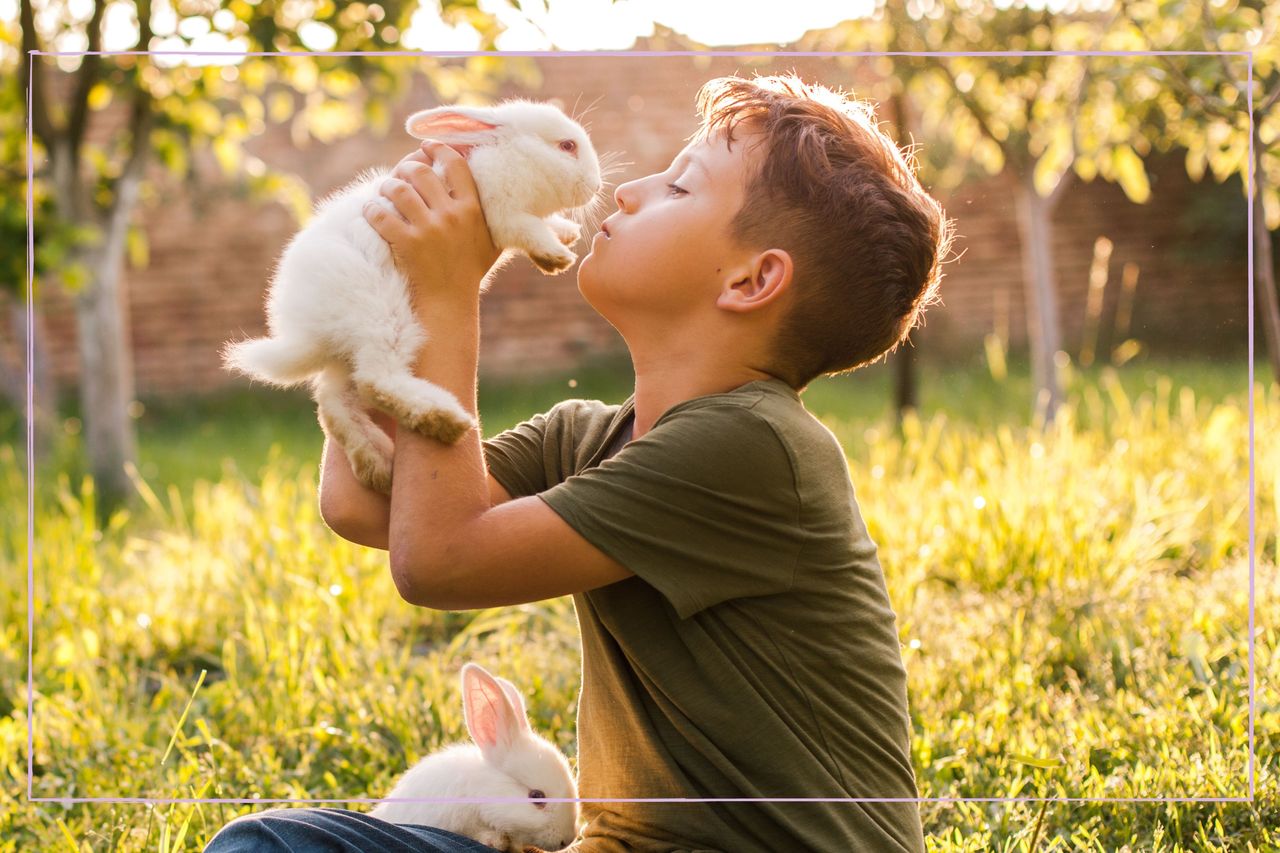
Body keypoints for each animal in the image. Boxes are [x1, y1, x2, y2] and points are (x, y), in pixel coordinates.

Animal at [222, 98, 601, 491]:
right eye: (567, 146)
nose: (596, 185)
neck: (504, 154)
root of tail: (301, 332)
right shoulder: (502, 212)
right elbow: (527, 229)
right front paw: (557, 255)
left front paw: (566, 233)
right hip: (384, 317)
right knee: (375, 381)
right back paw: (443, 419)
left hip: (349, 349)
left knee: (333, 400)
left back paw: (377, 466)